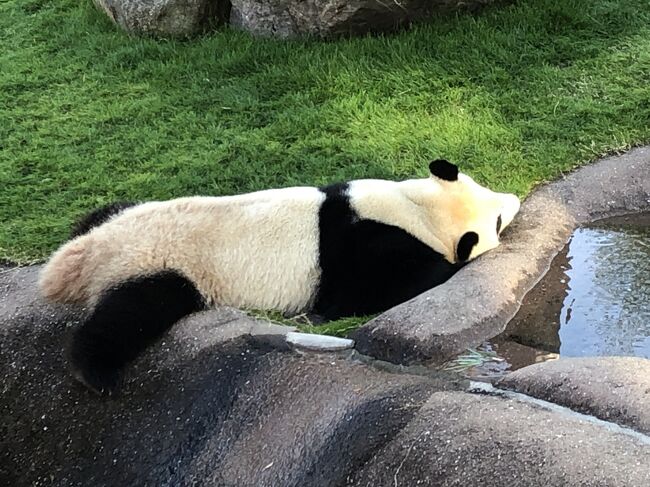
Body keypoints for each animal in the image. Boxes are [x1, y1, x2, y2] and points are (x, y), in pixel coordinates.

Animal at [39, 160, 516, 396]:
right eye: (497, 220)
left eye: (485, 187)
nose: (513, 197)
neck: (414, 211)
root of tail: (90, 253)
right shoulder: (364, 251)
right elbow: (354, 297)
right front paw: (453, 266)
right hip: (162, 266)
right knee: (129, 315)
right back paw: (97, 374)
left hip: (121, 213)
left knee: (98, 215)